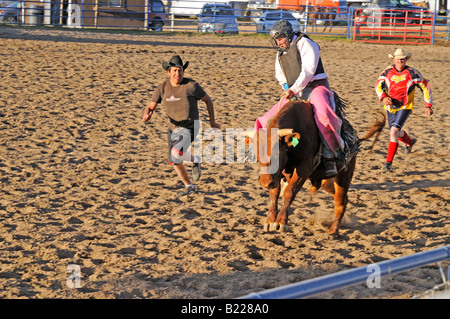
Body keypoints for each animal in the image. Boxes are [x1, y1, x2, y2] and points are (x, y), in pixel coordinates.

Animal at [248, 100, 384, 238]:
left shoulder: (303, 170)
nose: (265, 183)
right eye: (257, 155)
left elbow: (289, 192)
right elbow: (274, 193)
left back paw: (333, 230)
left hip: (345, 175)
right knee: (340, 197)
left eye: (277, 154)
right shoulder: (276, 175)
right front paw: (270, 221)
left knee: (340, 201)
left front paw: (281, 222)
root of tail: (353, 140)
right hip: (326, 181)